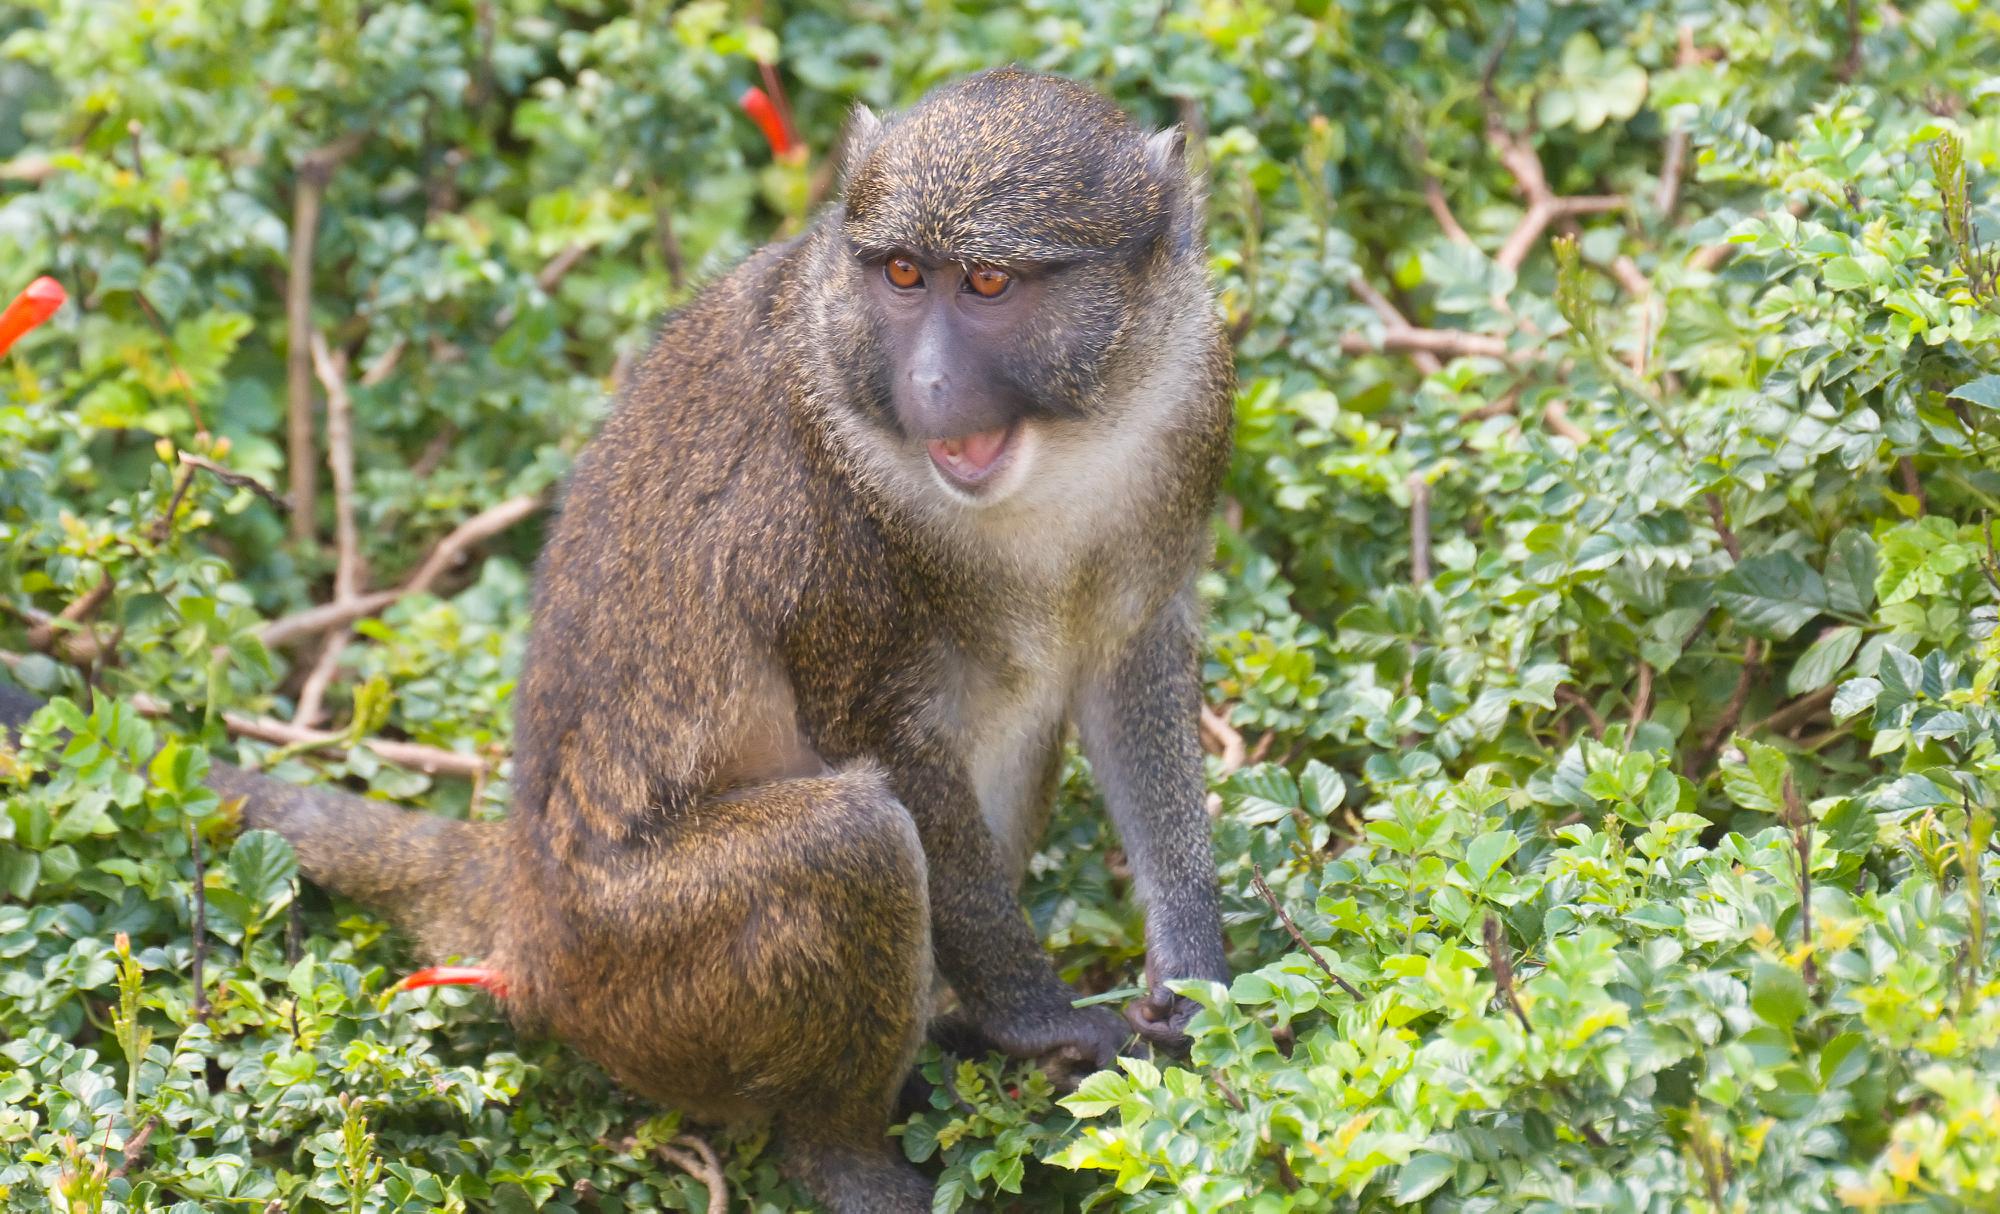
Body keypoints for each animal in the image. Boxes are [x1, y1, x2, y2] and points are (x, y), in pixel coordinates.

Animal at [0, 69, 1224, 1214]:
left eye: (987, 284)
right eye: (900, 278)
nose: (925, 384)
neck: (1057, 456)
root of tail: (528, 910)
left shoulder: (1186, 408)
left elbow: (1129, 674)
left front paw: (1195, 969)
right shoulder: (815, 524)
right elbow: (880, 737)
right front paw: (1037, 1017)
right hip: (648, 976)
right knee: (855, 839)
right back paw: (844, 1153)